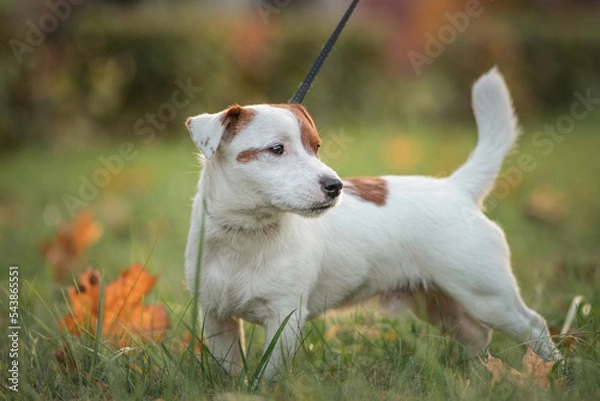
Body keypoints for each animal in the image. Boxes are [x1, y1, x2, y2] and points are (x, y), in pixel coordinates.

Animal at [184, 68, 564, 378]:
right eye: (276, 149)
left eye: (316, 147)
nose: (334, 186)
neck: (246, 233)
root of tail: (456, 187)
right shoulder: (216, 317)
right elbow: (229, 368)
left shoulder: (285, 316)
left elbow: (270, 372)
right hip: (439, 303)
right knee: (477, 335)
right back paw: (476, 373)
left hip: (488, 296)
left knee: (534, 326)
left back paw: (553, 371)